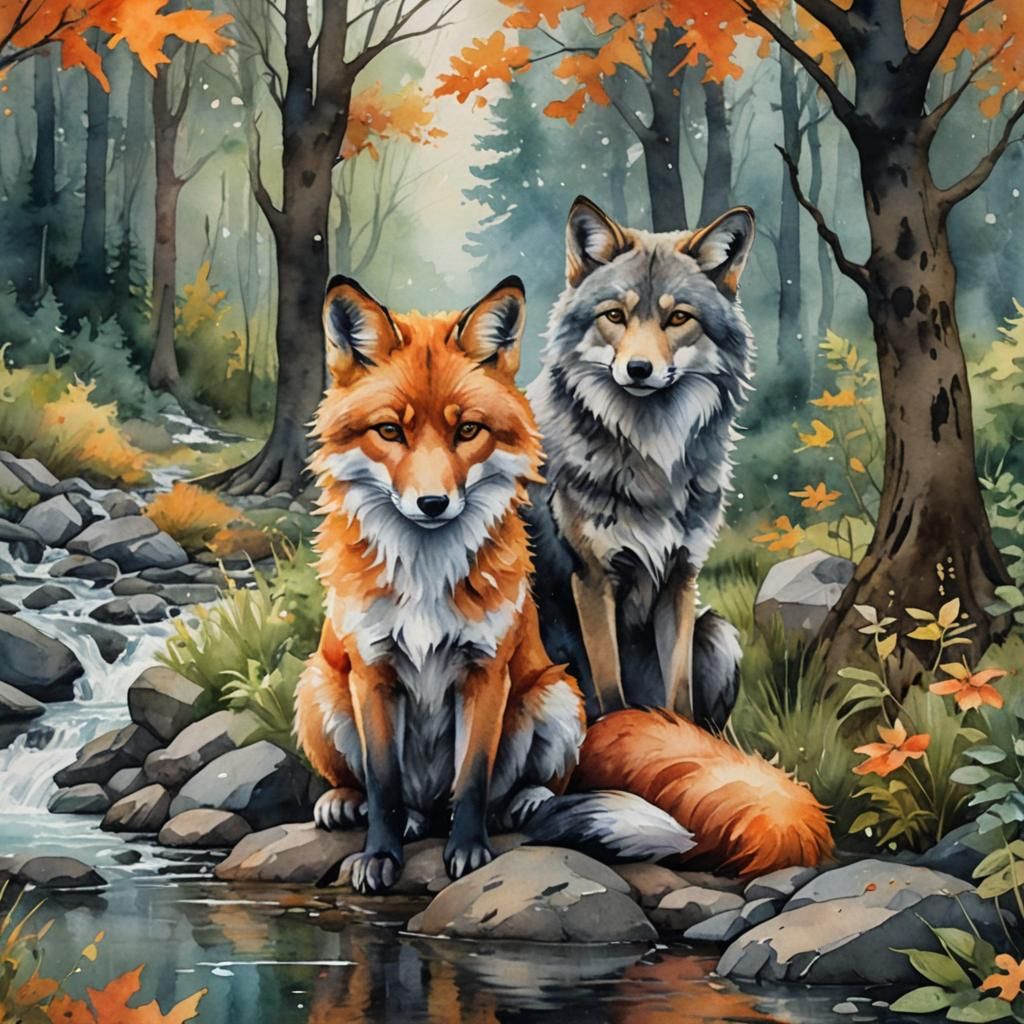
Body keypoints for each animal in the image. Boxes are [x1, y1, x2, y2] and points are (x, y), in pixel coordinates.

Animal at [296, 274, 832, 894]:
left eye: (467, 431)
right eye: (389, 431)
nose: (432, 504)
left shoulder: (489, 672)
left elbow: (473, 778)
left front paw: (470, 852)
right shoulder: (373, 671)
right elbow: (382, 783)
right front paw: (380, 856)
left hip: (560, 695)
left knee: (510, 787)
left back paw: (522, 803)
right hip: (321, 687)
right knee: (384, 792)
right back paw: (349, 802)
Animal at [525, 196, 758, 729]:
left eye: (678, 319)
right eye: (615, 315)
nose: (638, 369)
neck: (651, 456)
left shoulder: (681, 577)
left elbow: (679, 696)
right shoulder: (592, 580)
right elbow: (612, 693)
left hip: (718, 635)